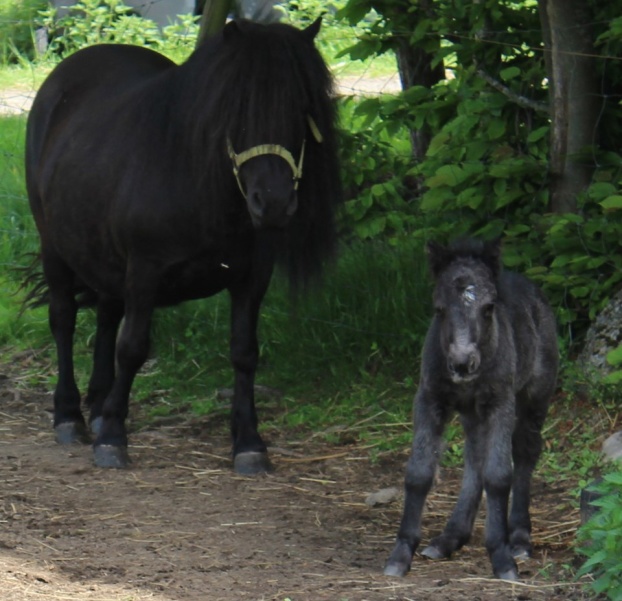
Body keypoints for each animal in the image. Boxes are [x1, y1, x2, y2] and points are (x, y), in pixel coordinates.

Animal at [24, 16, 342, 472]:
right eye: (237, 106)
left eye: (301, 107)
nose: (274, 203)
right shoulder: (144, 271)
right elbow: (132, 347)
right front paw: (113, 438)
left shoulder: (252, 278)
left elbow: (244, 352)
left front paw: (249, 442)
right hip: (54, 245)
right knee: (64, 318)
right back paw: (70, 416)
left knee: (105, 315)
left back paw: (99, 405)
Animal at [386, 239, 560, 580]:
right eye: (438, 309)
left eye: (489, 307)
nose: (463, 363)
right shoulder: (429, 399)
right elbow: (419, 471)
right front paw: (401, 554)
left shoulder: (500, 403)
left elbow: (499, 475)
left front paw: (503, 559)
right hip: (472, 413)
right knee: (474, 459)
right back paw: (449, 538)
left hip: (535, 395)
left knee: (525, 451)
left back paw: (519, 538)